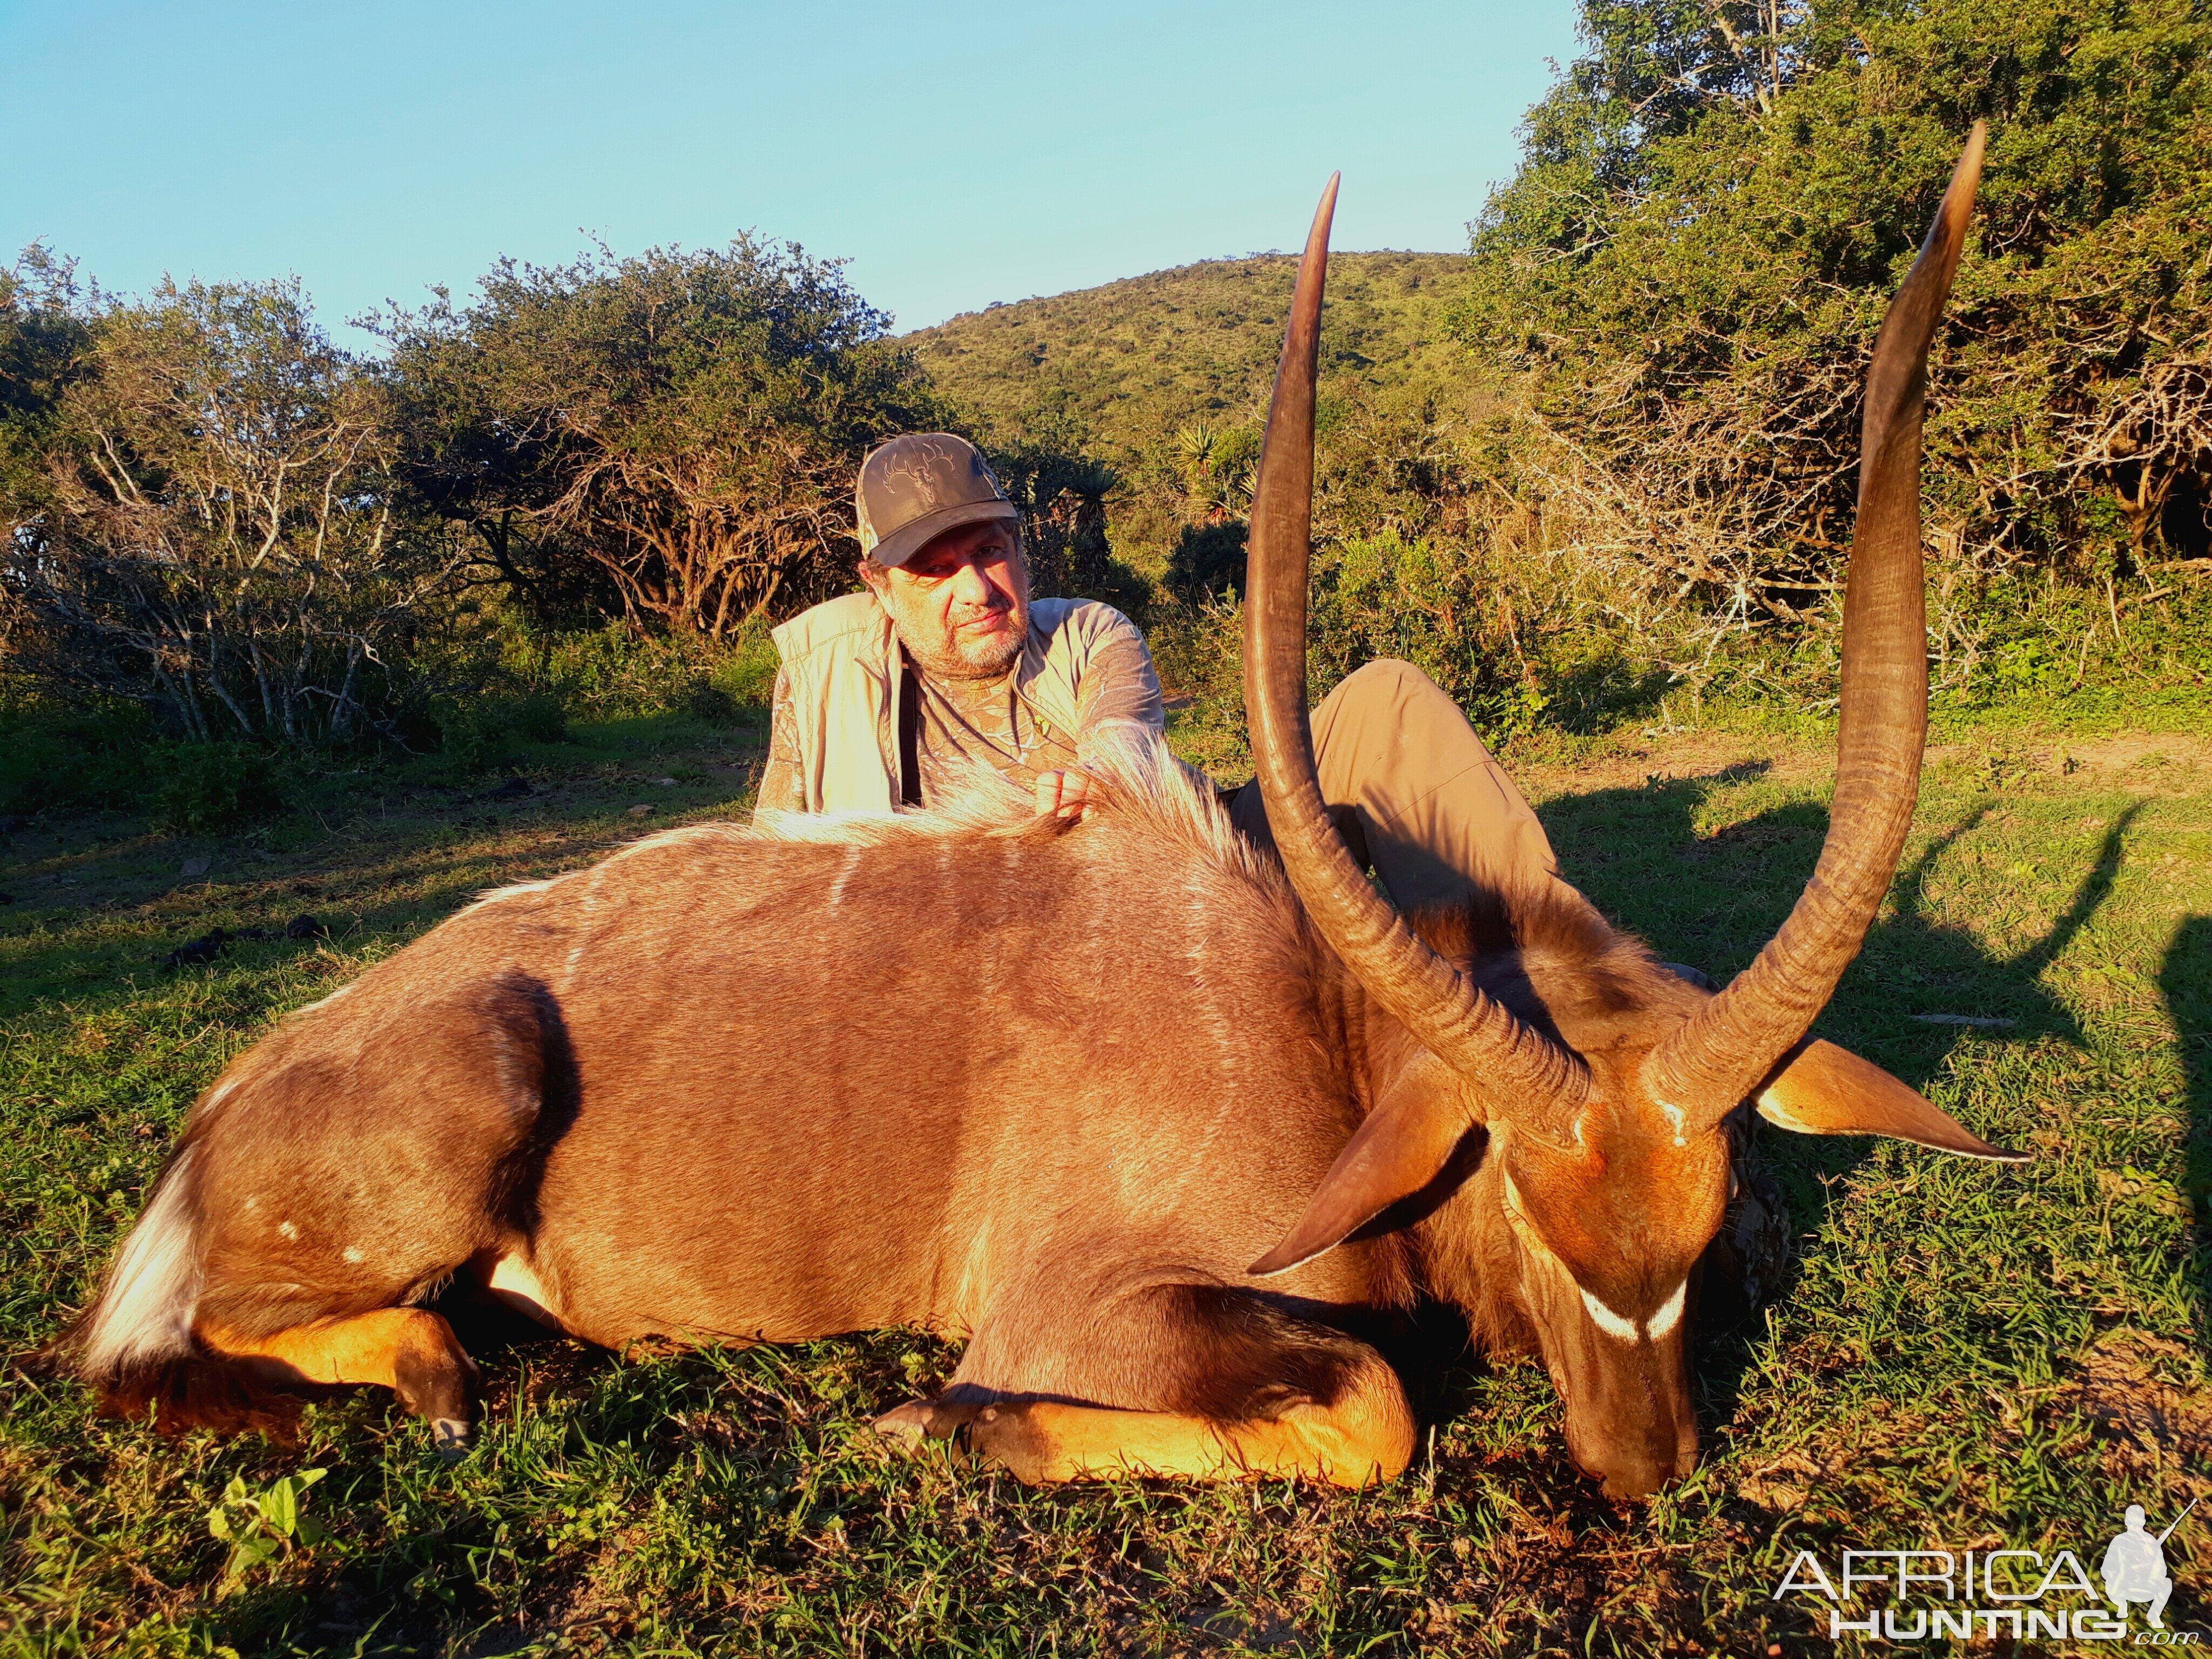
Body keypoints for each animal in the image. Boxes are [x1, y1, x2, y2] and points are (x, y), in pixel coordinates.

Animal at [64, 133, 2026, 1504]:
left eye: (1700, 1235)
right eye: (1530, 1222)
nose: (1641, 1471)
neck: (1308, 1024)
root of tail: (228, 1106)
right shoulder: (1079, 1309)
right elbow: (1375, 1406)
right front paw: (940, 1426)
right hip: (460, 1104)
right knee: (194, 1346)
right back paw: (450, 1372)